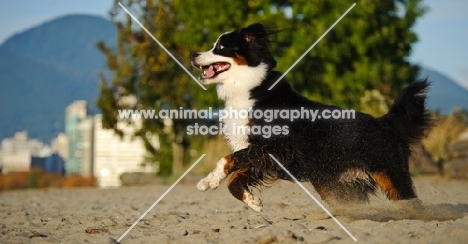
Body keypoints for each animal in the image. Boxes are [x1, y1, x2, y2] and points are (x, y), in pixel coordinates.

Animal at [191, 23, 432, 213]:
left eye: (220, 46)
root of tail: (384, 122)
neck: (248, 88)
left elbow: (228, 159)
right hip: (334, 184)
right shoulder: (261, 155)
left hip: (390, 174)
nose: (193, 54)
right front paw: (252, 201)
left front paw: (207, 181)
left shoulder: (277, 148)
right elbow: (235, 178)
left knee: (414, 204)